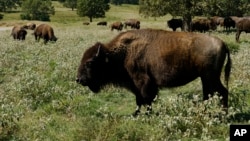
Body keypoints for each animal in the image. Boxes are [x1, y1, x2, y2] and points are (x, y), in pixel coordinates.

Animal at [75, 28, 230, 115]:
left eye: (90, 63)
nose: (79, 79)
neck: (124, 52)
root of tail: (222, 43)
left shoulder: (143, 82)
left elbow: (146, 99)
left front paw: (147, 114)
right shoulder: (136, 85)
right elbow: (139, 100)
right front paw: (136, 114)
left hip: (211, 77)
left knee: (223, 92)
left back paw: (223, 115)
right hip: (205, 78)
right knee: (208, 94)